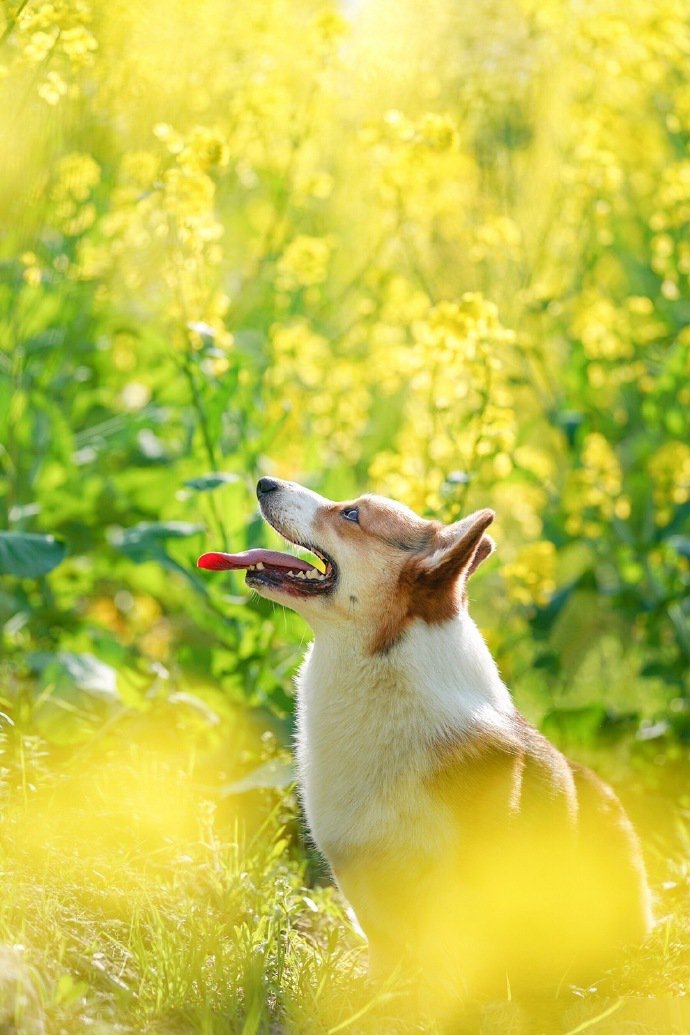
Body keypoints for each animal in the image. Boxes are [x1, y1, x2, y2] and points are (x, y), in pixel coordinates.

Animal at [198, 478, 653, 1010]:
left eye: (351, 515)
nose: (264, 482)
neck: (380, 664)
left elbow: (452, 962)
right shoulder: (359, 878)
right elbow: (383, 947)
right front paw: (373, 996)